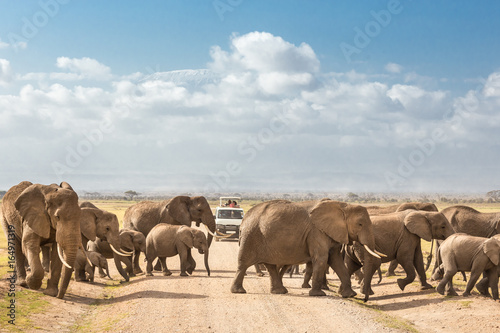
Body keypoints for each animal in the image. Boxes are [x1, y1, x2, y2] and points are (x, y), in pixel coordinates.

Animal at [231, 198, 382, 300]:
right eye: (360, 224)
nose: (365, 299)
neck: (343, 205)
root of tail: (244, 219)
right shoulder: (316, 232)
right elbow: (322, 259)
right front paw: (318, 294)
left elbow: (336, 260)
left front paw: (350, 295)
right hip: (251, 235)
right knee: (243, 263)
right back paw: (238, 291)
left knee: (271, 266)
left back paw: (280, 291)